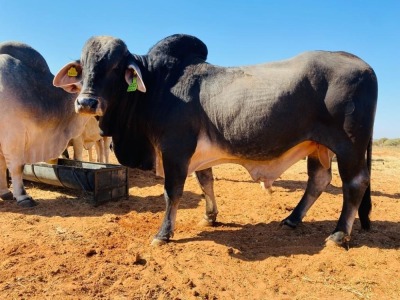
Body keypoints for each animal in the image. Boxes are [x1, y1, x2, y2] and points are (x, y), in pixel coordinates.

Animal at [54, 34, 378, 247]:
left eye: (114, 67)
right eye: (83, 67)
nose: (86, 103)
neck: (157, 85)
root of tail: (364, 65)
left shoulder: (175, 149)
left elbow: (172, 192)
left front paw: (163, 234)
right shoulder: (197, 152)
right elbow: (205, 181)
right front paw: (210, 216)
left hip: (348, 146)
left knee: (355, 183)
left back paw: (339, 234)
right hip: (318, 146)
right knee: (319, 180)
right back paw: (292, 219)